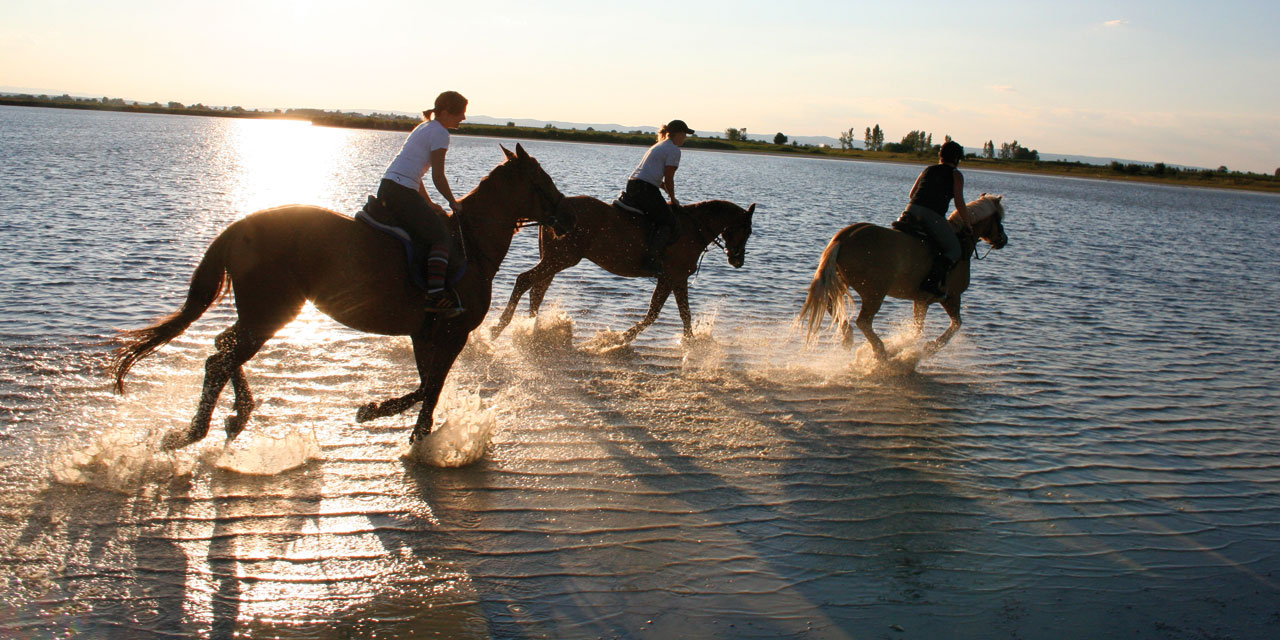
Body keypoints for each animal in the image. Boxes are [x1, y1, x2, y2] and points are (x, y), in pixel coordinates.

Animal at [110, 142, 570, 448]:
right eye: (542, 181)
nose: (566, 215)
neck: (472, 245)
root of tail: (239, 226)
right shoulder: (450, 332)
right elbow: (431, 387)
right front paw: (390, 420)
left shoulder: (425, 333)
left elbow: (427, 385)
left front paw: (402, 426)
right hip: (272, 312)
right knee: (220, 359)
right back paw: (194, 432)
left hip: (260, 313)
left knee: (223, 348)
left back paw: (236, 416)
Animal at [486, 197, 747, 343]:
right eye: (746, 230)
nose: (738, 261)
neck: (694, 228)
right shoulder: (676, 277)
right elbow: (673, 313)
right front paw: (690, 343)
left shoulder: (670, 279)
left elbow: (662, 313)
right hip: (561, 258)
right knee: (524, 281)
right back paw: (500, 327)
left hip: (554, 259)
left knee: (536, 289)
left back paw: (531, 327)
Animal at [788, 192, 1008, 363]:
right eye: (998, 219)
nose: (1003, 240)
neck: (962, 242)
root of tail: (844, 238)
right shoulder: (951, 297)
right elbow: (955, 325)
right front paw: (929, 348)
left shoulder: (921, 300)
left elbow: (918, 329)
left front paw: (906, 347)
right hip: (874, 291)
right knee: (863, 321)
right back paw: (880, 351)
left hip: (842, 282)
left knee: (831, 305)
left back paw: (848, 336)